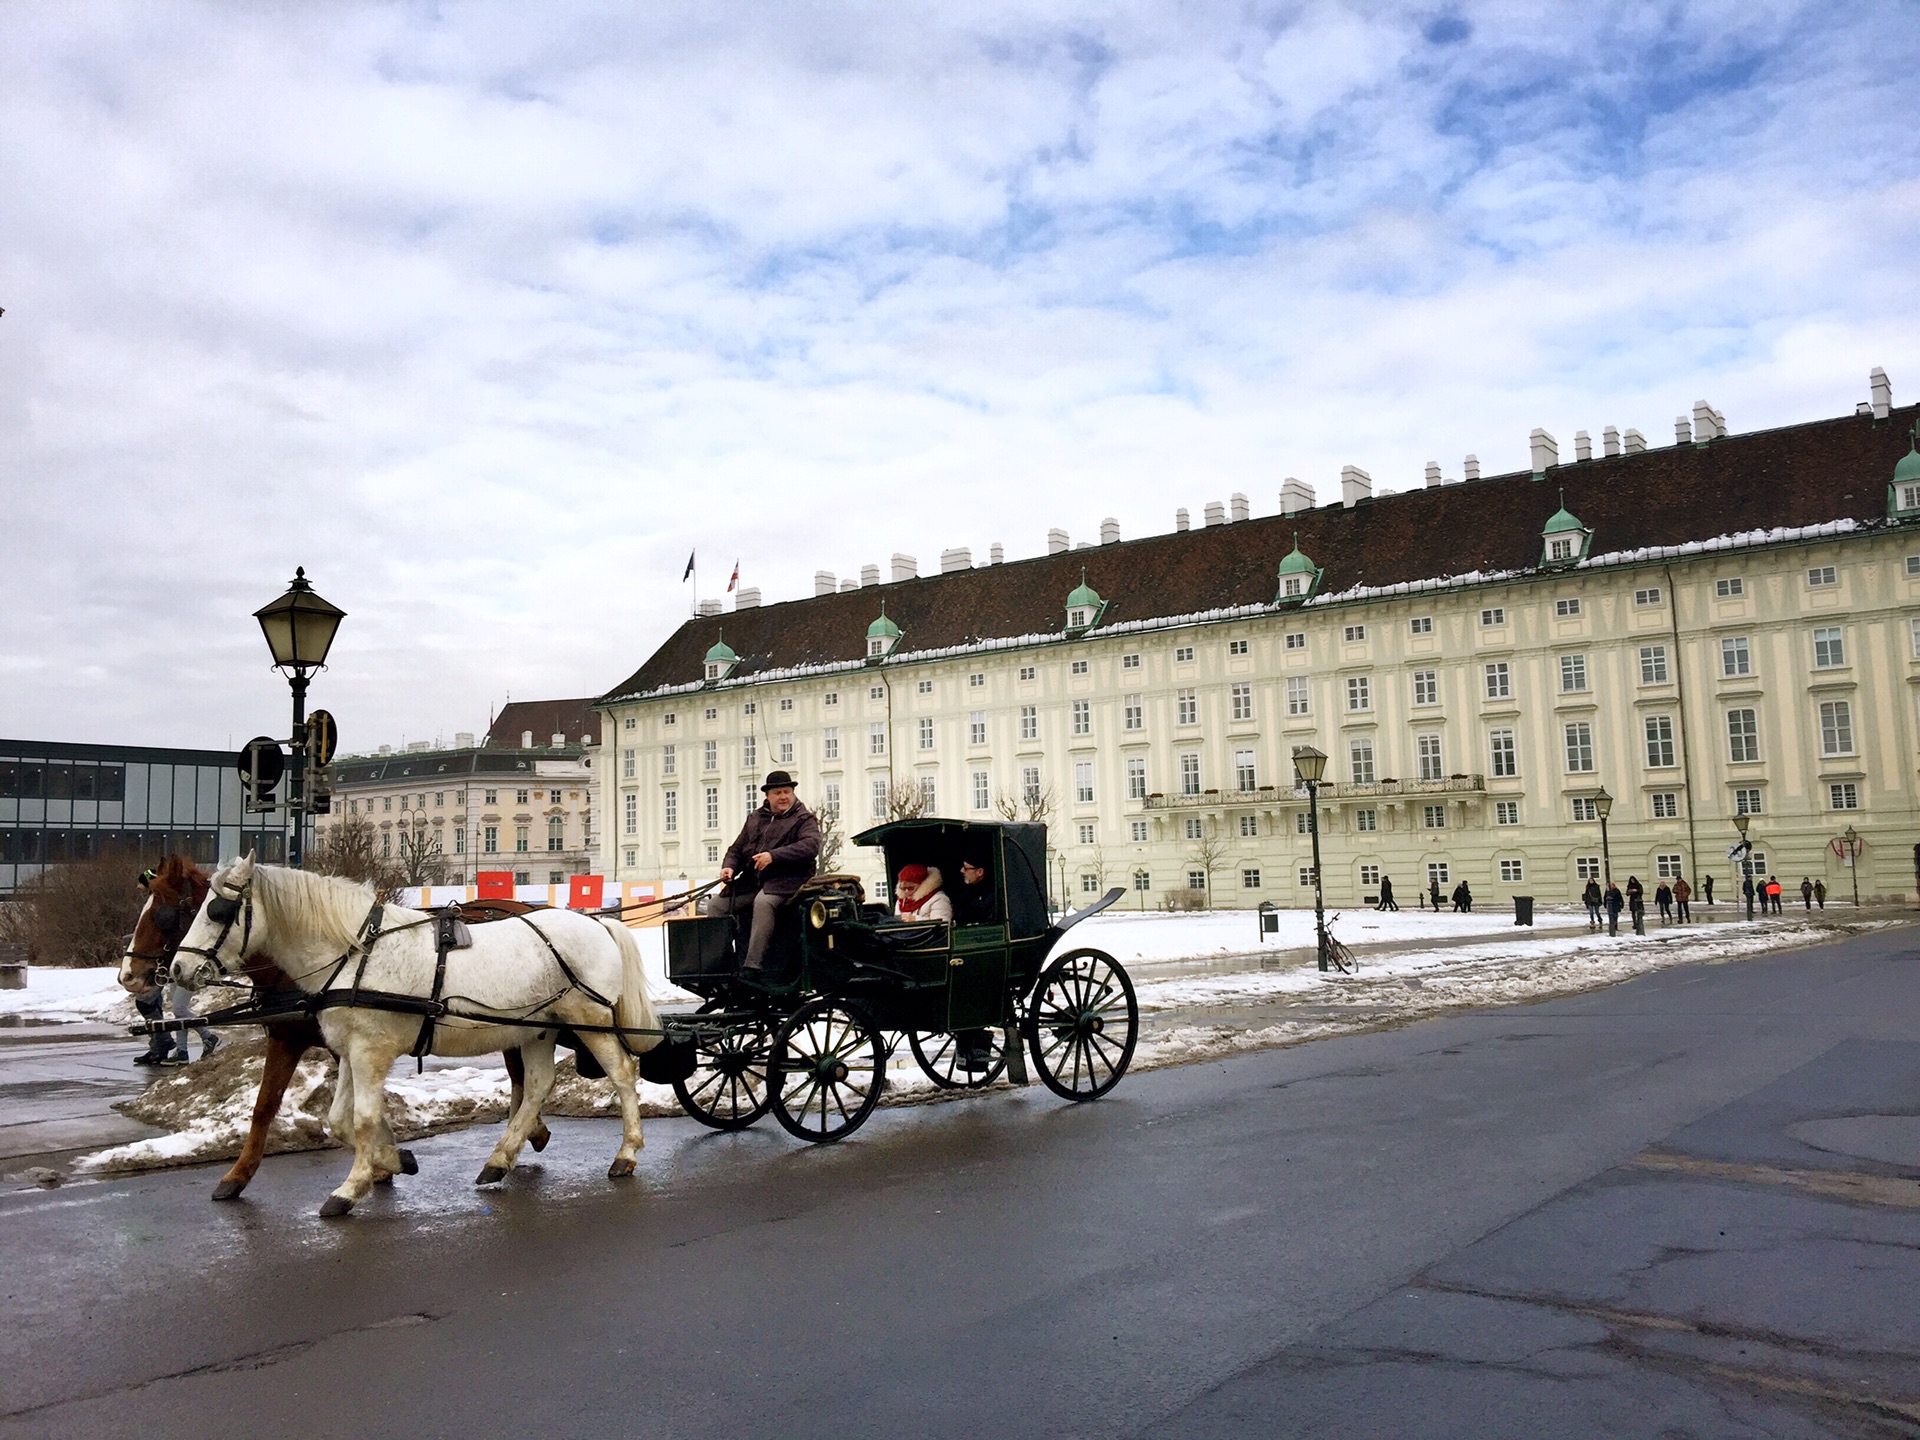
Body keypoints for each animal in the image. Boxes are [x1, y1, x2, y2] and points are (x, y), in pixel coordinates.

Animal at [118, 856, 549, 1205]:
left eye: (165, 915)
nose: (130, 976)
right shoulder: (317, 1040)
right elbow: (296, 1109)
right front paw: (388, 1158)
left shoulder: (314, 1040)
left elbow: (285, 1108)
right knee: (524, 1078)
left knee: (521, 1078)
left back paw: (523, 1137)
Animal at [174, 856, 668, 1221]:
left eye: (217, 911)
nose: (177, 969)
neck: (356, 953)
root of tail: (598, 924)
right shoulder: (350, 1050)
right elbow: (339, 1120)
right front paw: (394, 1161)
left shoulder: (370, 1050)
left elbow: (362, 1120)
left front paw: (351, 1187)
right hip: (537, 1029)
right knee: (538, 1085)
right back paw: (500, 1159)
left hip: (588, 1018)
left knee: (622, 1073)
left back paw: (626, 1153)